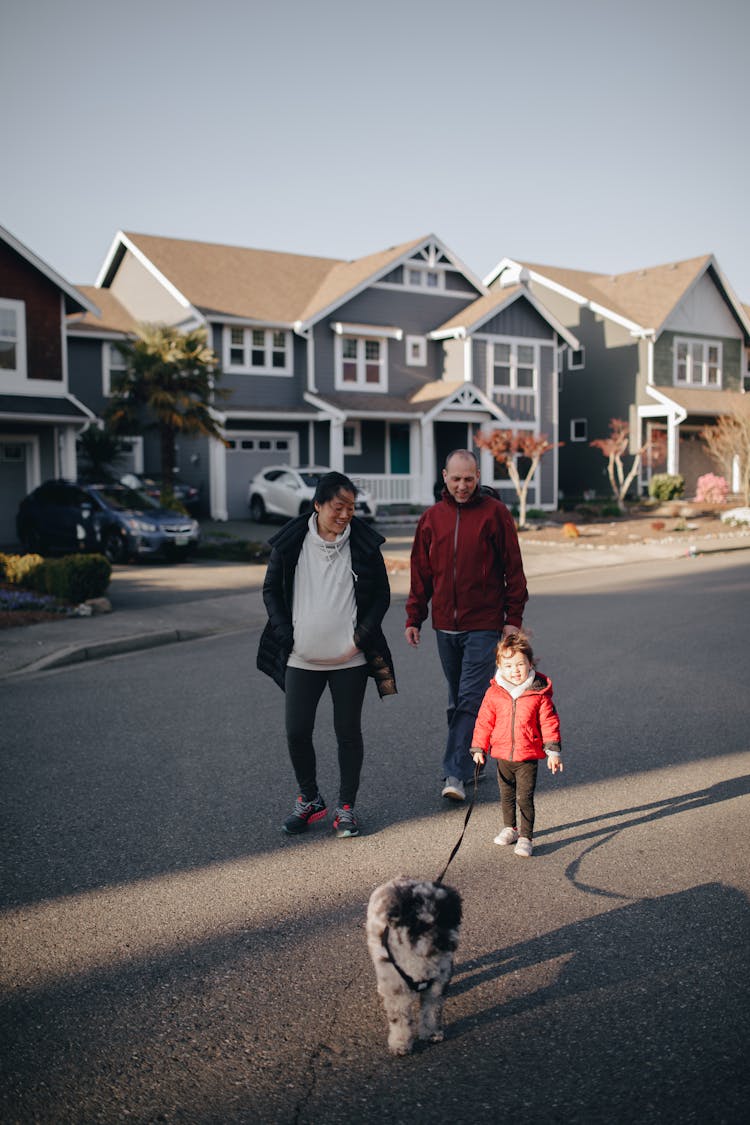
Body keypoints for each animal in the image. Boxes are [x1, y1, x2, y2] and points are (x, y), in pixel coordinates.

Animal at [364, 877, 463, 1053]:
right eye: (421, 925)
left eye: (447, 918)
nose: (444, 942)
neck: (422, 958)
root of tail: (398, 878)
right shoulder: (398, 992)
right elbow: (400, 1021)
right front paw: (400, 1043)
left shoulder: (436, 987)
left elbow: (431, 1013)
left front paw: (432, 1033)